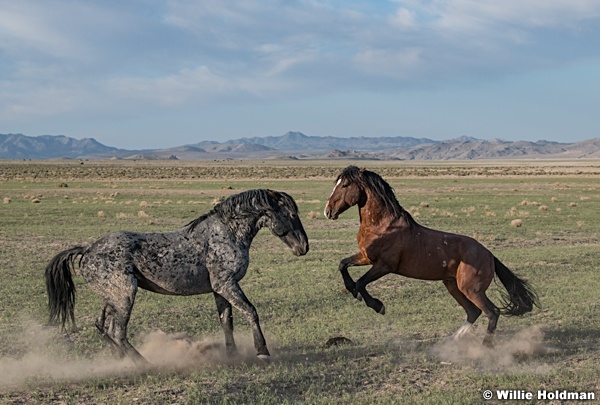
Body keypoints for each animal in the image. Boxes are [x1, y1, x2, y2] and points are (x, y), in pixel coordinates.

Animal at [45, 188, 310, 364]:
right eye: (289, 214)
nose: (304, 247)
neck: (227, 233)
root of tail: (87, 249)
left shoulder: (220, 289)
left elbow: (227, 321)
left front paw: (232, 354)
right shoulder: (227, 284)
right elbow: (251, 311)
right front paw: (262, 351)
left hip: (111, 298)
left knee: (104, 326)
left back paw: (120, 361)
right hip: (125, 296)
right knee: (117, 332)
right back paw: (143, 364)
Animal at [324, 166, 540, 346]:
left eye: (344, 185)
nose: (328, 212)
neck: (384, 226)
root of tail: (489, 255)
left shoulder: (384, 266)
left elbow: (361, 282)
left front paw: (377, 305)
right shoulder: (366, 257)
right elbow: (343, 265)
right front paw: (355, 292)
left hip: (472, 289)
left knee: (492, 312)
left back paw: (485, 347)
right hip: (453, 285)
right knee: (474, 312)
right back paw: (450, 341)